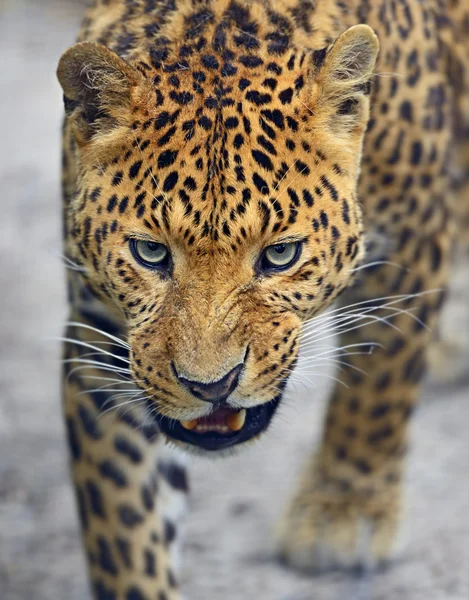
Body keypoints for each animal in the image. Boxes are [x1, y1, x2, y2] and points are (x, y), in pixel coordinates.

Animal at [56, 2, 468, 596]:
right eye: (150, 252)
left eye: (280, 255)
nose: (211, 387)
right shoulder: (103, 342)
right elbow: (125, 530)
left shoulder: (415, 237)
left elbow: (379, 387)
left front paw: (345, 509)